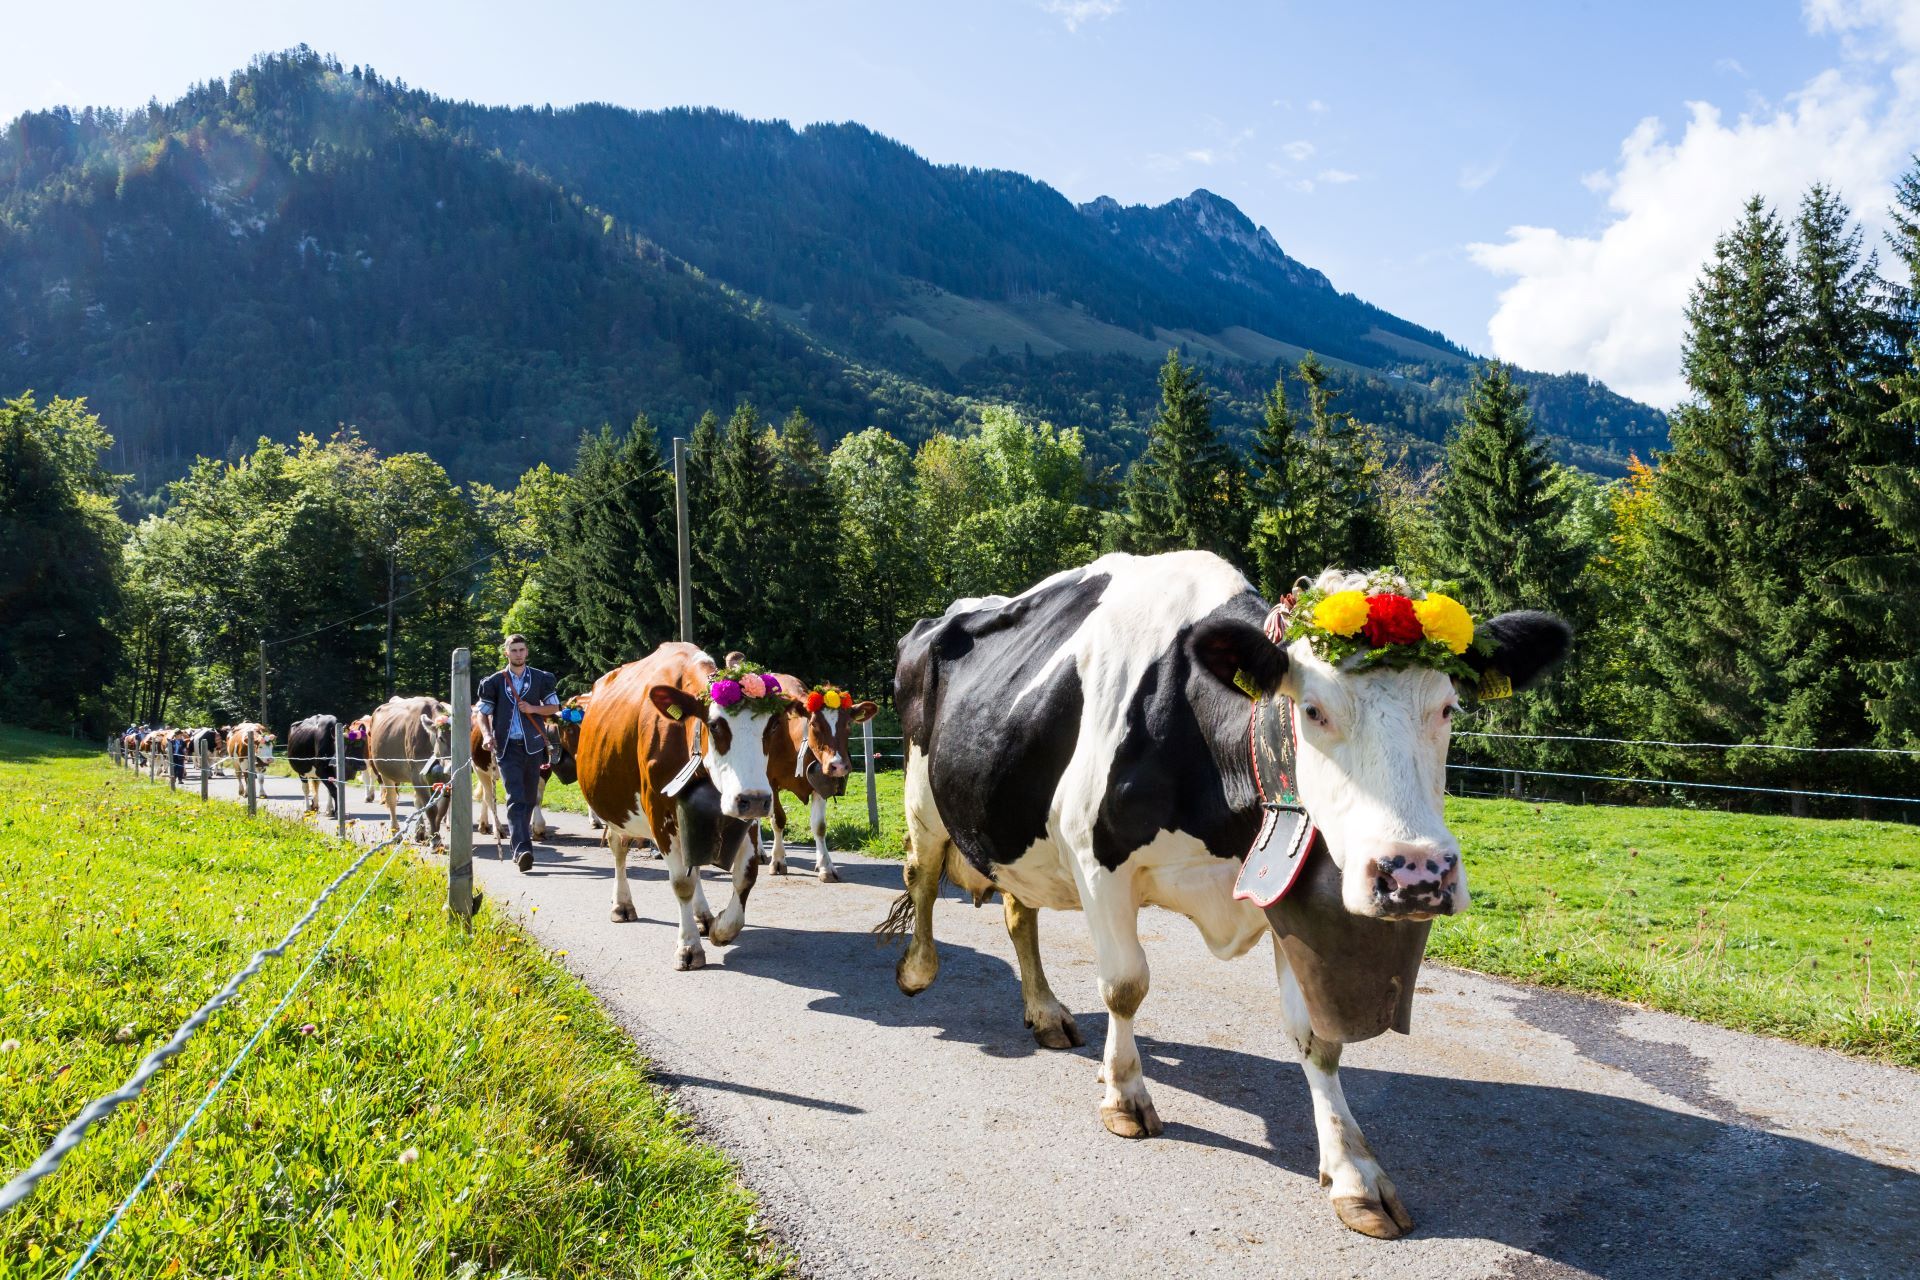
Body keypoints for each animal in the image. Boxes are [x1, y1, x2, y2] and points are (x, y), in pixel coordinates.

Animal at [364, 697, 455, 845]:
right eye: (441, 738)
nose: (451, 767)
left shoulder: (445, 779)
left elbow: (441, 809)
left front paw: (434, 835)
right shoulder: (417, 776)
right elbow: (431, 809)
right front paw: (435, 840)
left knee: (416, 801)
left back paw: (420, 832)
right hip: (385, 772)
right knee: (391, 800)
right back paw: (396, 832)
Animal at [575, 644, 790, 970]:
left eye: (773, 724)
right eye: (714, 725)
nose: (753, 799)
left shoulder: (745, 815)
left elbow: (745, 876)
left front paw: (722, 928)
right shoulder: (659, 813)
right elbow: (681, 884)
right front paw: (688, 947)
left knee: (695, 863)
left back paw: (703, 916)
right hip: (616, 811)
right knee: (618, 847)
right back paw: (622, 904)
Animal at [763, 675, 878, 882]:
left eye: (848, 723)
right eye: (814, 724)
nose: (838, 765)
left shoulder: (820, 783)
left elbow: (819, 826)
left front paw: (826, 866)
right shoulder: (770, 782)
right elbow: (778, 820)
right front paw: (778, 861)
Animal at [883, 553, 1570, 1239]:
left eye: (1448, 707)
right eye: (1313, 710)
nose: (1416, 874)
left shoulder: (1284, 884)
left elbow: (1316, 1034)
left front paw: (1352, 1172)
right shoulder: (1095, 858)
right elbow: (1125, 986)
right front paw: (1125, 1096)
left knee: (1018, 911)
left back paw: (1046, 1012)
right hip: (923, 790)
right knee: (922, 875)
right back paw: (917, 970)